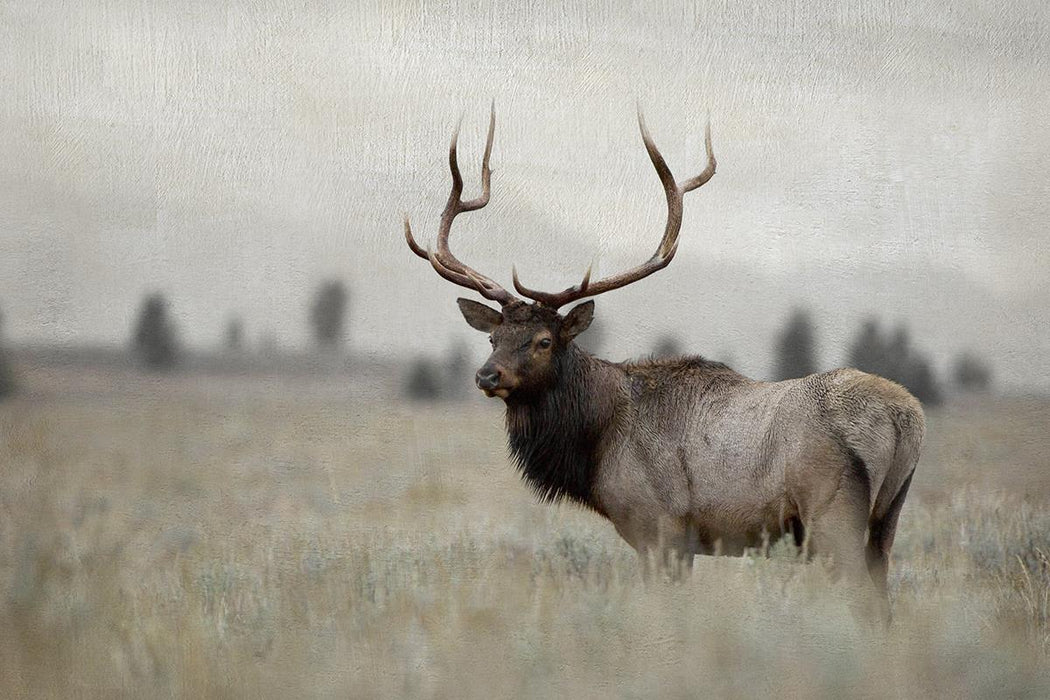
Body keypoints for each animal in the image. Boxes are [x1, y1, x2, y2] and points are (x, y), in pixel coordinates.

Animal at [403, 107, 925, 616]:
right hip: (887, 519)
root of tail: (905, 418)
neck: (597, 440)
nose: (486, 375)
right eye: (493, 337)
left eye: (544, 340)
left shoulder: (659, 527)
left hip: (833, 514)